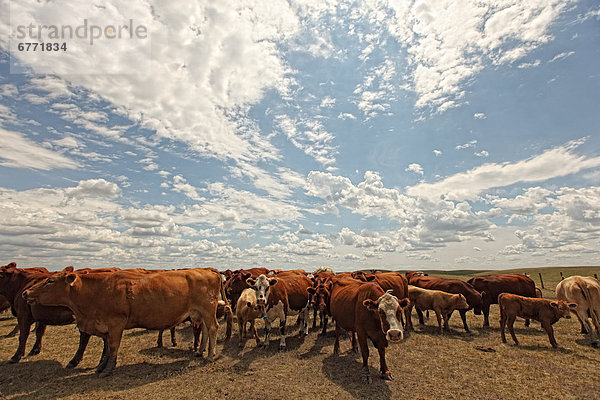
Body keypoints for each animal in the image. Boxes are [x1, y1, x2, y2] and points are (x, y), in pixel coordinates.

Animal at [22, 268, 225, 376]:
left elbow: (113, 347)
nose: (26, 292)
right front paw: (101, 366)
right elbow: (106, 349)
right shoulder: (105, 327)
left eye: (50, 281)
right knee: (205, 330)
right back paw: (200, 351)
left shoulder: (115, 324)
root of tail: (208, 270)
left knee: (212, 328)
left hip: (208, 310)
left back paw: (210, 355)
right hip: (200, 313)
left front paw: (108, 369)